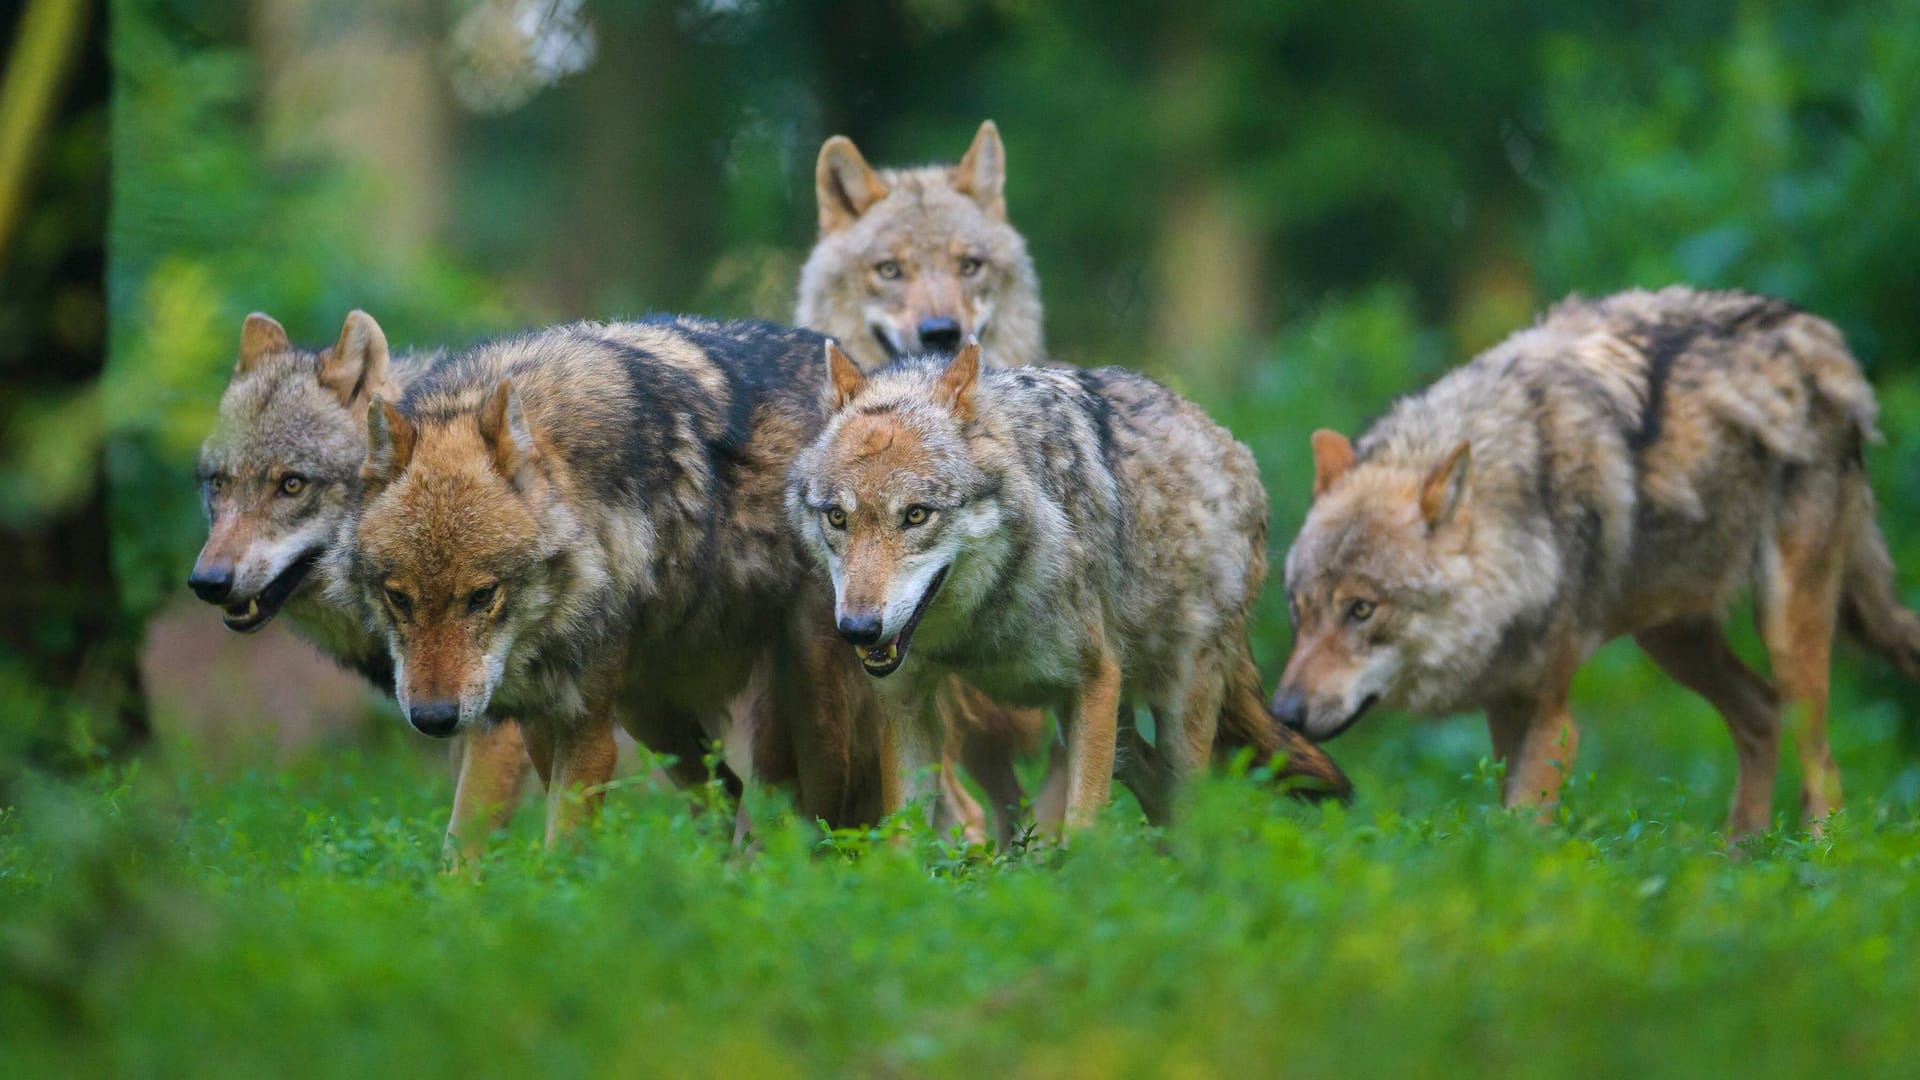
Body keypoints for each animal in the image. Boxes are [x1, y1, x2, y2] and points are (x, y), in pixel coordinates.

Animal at [336, 319, 883, 841]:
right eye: (399, 599)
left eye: (482, 596)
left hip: (811, 705)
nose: (433, 719)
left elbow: (562, 844)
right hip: (646, 706)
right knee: (726, 789)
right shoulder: (538, 719)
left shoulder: (587, 730)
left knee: (823, 820)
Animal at [787, 340, 1359, 826]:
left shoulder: (1096, 679)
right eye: (837, 518)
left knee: (1188, 808)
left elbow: (1085, 828)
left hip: (1175, 712)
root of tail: (1230, 445)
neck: (976, 632)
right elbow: (904, 841)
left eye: (915, 515)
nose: (858, 629)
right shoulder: (906, 703)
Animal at [1274, 286, 1920, 834]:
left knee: (1822, 766)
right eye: (1299, 612)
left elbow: (1520, 828)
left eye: (1361, 610)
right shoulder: (1506, 704)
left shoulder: (1553, 717)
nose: (1283, 713)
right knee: (1761, 712)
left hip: (1785, 633)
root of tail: (1819, 335)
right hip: (1671, 640)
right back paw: (1739, 857)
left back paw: (1815, 860)